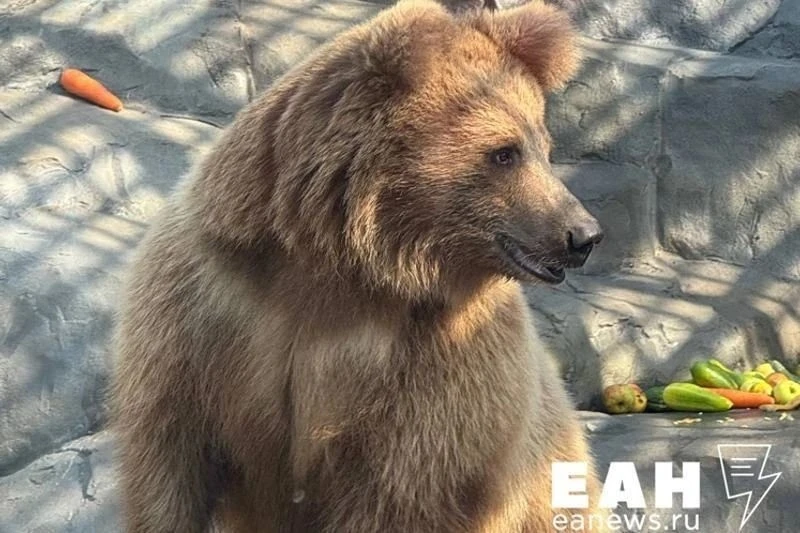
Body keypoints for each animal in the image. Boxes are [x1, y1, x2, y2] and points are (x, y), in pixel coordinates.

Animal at [111, 1, 607, 532]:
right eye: (505, 152)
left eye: (544, 149)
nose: (582, 235)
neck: (339, 271)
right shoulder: (205, 310)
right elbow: (169, 461)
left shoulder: (436, 370)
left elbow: (401, 486)